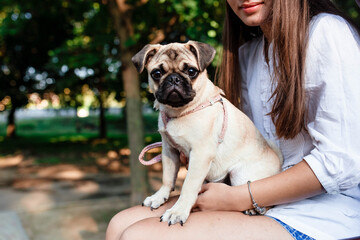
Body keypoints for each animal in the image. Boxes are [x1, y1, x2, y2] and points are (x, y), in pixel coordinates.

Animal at [132, 40, 284, 226]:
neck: (181, 112)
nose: (174, 78)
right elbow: (167, 178)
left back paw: (254, 209)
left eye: (191, 71)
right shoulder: (169, 151)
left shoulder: (200, 154)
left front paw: (178, 211)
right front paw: (159, 197)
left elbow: (188, 185)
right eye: (157, 73)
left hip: (240, 174)